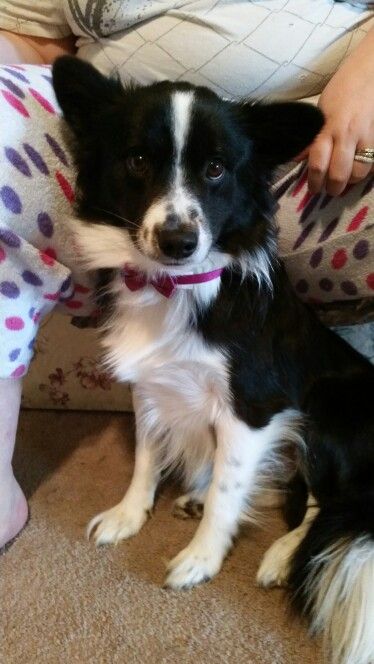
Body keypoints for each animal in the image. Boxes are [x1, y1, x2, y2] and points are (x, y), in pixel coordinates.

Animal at [52, 57, 374, 664]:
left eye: (218, 169)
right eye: (137, 160)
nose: (178, 240)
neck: (175, 287)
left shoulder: (252, 409)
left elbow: (230, 489)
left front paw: (202, 557)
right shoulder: (150, 389)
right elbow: (146, 457)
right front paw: (130, 514)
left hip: (327, 406)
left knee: (324, 505)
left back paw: (282, 554)